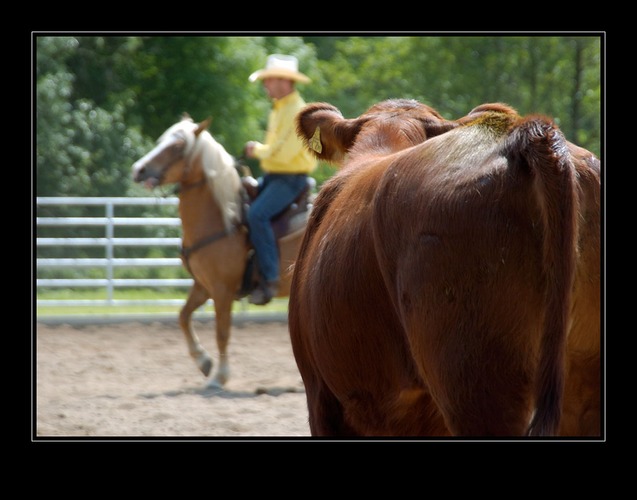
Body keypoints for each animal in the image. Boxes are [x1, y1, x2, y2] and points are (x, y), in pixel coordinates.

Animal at [132, 115, 308, 388]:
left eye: (177, 146)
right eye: (162, 140)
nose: (138, 169)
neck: (223, 220)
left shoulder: (223, 290)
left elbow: (222, 332)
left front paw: (220, 376)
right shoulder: (204, 285)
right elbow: (183, 316)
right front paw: (203, 362)